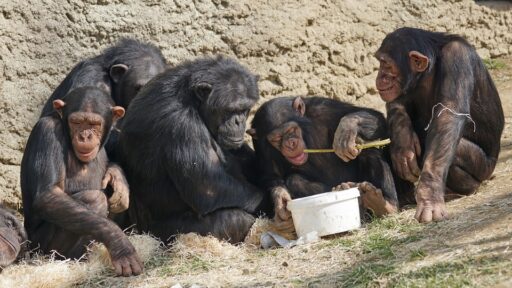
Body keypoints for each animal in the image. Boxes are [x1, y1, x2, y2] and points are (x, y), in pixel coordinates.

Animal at [20, 86, 142, 276]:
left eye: (94, 124)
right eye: (76, 122)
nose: (85, 136)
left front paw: (118, 178)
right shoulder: (47, 131)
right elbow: (48, 195)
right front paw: (120, 243)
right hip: (40, 248)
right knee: (94, 199)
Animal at [119, 55, 270, 243]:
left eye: (244, 109)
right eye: (230, 110)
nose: (238, 122)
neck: (193, 102)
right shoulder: (182, 125)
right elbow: (208, 187)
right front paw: (269, 201)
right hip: (164, 233)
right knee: (235, 219)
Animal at [248, 97, 400, 227]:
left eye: (291, 129)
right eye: (276, 138)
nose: (290, 143)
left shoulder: (324, 108)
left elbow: (376, 117)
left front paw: (348, 126)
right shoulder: (260, 144)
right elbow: (270, 174)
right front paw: (281, 199)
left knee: (366, 147)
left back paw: (384, 204)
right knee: (294, 180)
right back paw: (345, 190)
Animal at [374, 27, 506, 223]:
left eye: (386, 64)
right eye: (380, 62)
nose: (380, 76)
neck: (429, 70)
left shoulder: (457, 57)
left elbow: (449, 116)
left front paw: (429, 197)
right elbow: (398, 101)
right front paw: (402, 142)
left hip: (485, 168)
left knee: (453, 150)